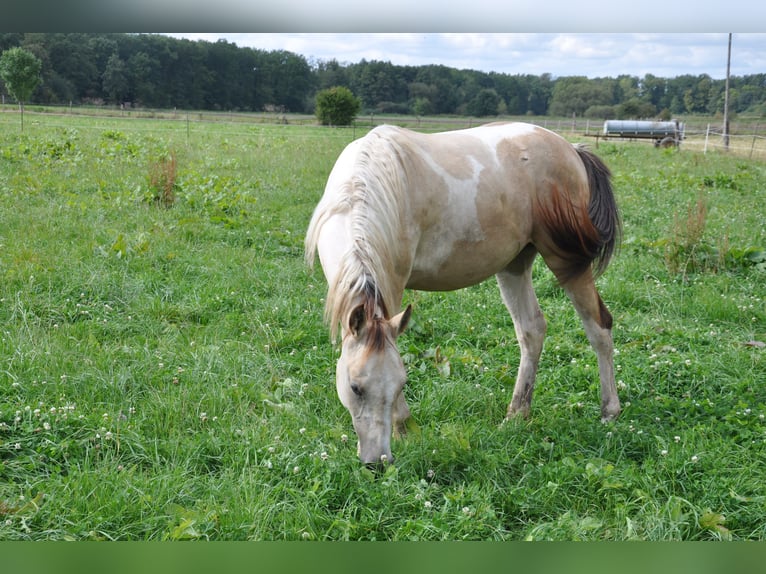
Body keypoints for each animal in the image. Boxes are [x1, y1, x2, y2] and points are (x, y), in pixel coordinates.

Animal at [304, 122, 622, 465]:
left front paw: (404, 431)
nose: (378, 462)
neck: (360, 190)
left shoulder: (393, 285)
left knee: (599, 327)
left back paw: (609, 411)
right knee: (532, 330)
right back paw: (516, 414)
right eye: (355, 387)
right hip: (514, 265)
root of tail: (571, 150)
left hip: (567, 261)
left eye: (401, 383)